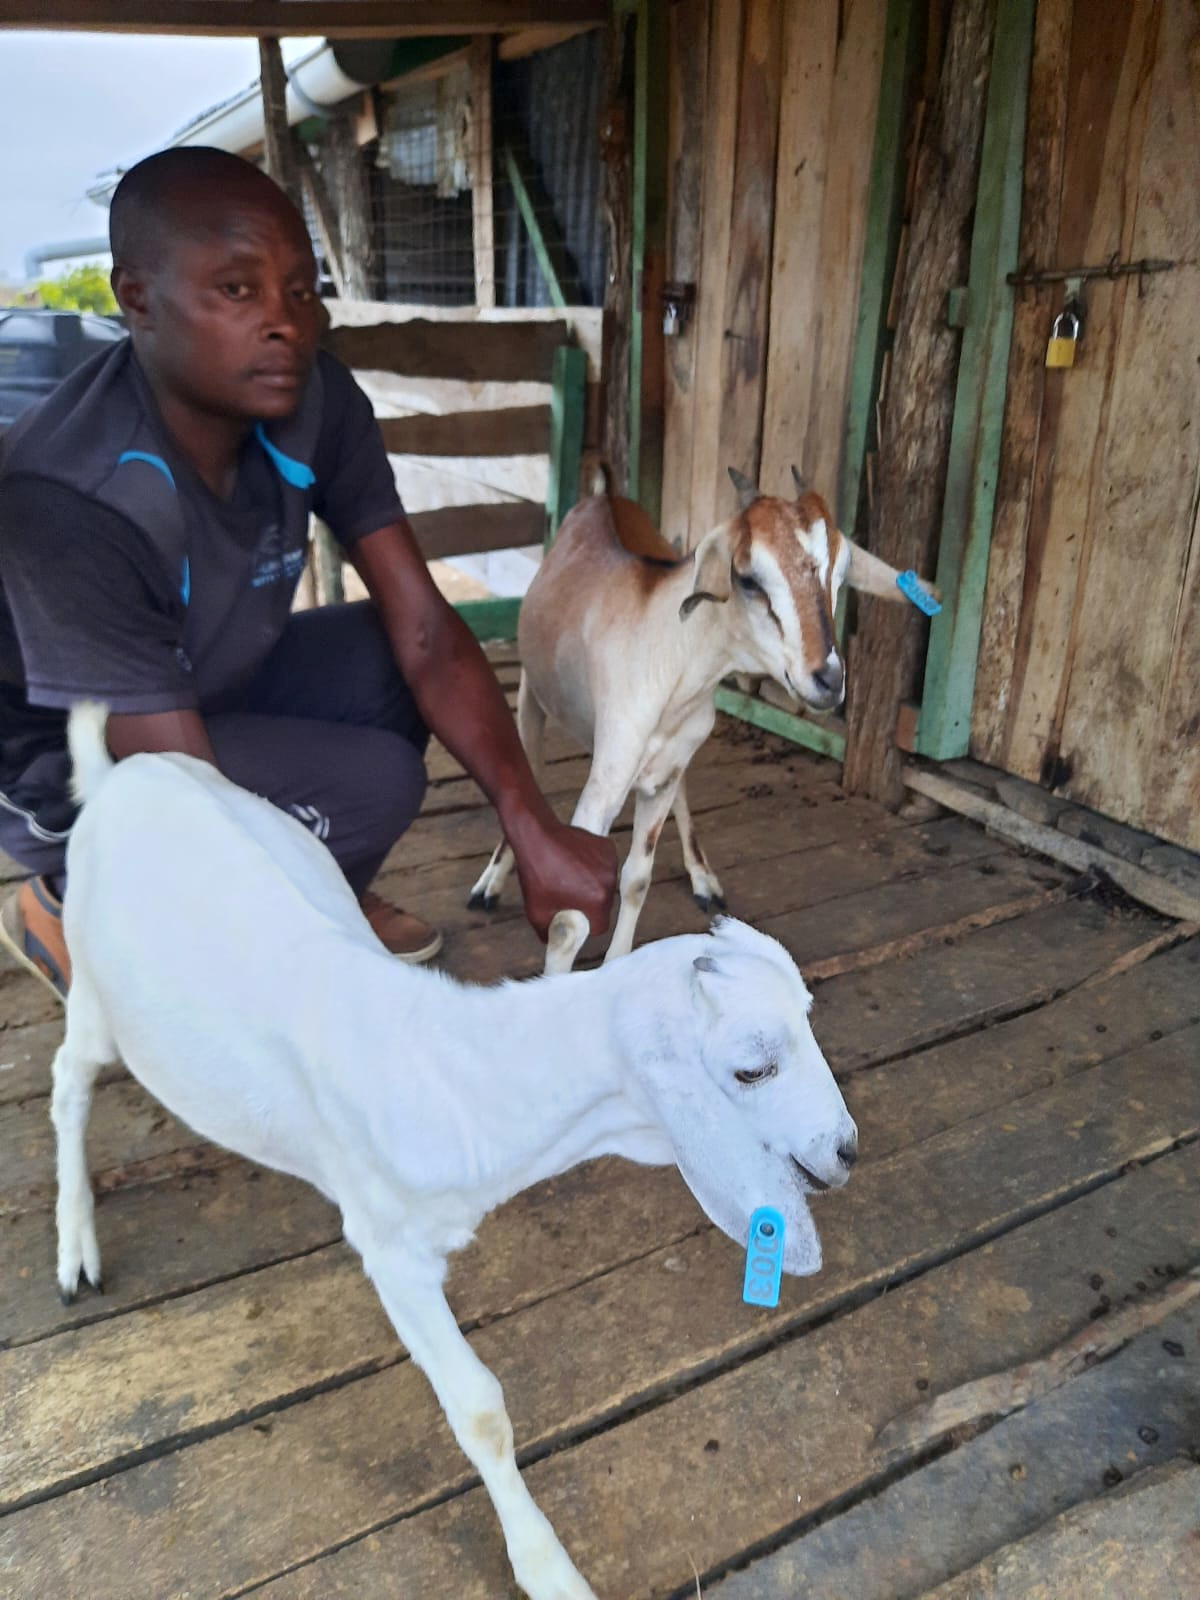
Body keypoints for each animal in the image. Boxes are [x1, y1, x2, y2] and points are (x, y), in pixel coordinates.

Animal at [52, 702, 857, 1600]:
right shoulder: (391, 1251)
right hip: (95, 993)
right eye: (752, 1068)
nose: (846, 1149)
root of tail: (122, 772)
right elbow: (478, 1407)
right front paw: (547, 1568)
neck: (459, 1070)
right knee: (67, 1079)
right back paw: (76, 1245)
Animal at [470, 468, 937, 973]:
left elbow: (637, 878)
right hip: (531, 694)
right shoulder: (605, 784)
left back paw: (703, 877)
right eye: (748, 579)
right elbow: (568, 921)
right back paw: (490, 882)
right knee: (527, 763)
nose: (828, 679)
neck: (673, 662)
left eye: (842, 572)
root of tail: (603, 496)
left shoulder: (665, 768)